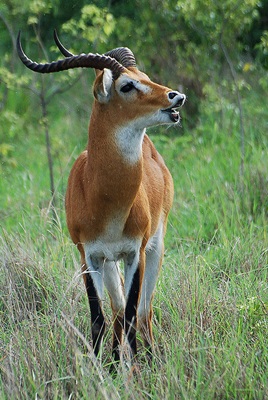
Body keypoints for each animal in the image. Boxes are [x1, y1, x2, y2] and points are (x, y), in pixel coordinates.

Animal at [16, 32, 184, 366]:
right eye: (127, 85)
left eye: (145, 77)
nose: (176, 97)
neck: (107, 203)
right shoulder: (88, 255)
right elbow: (98, 317)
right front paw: (99, 368)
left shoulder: (135, 253)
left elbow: (131, 314)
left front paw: (133, 371)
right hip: (109, 262)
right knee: (118, 311)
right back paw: (116, 362)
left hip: (155, 248)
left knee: (143, 311)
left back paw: (148, 358)